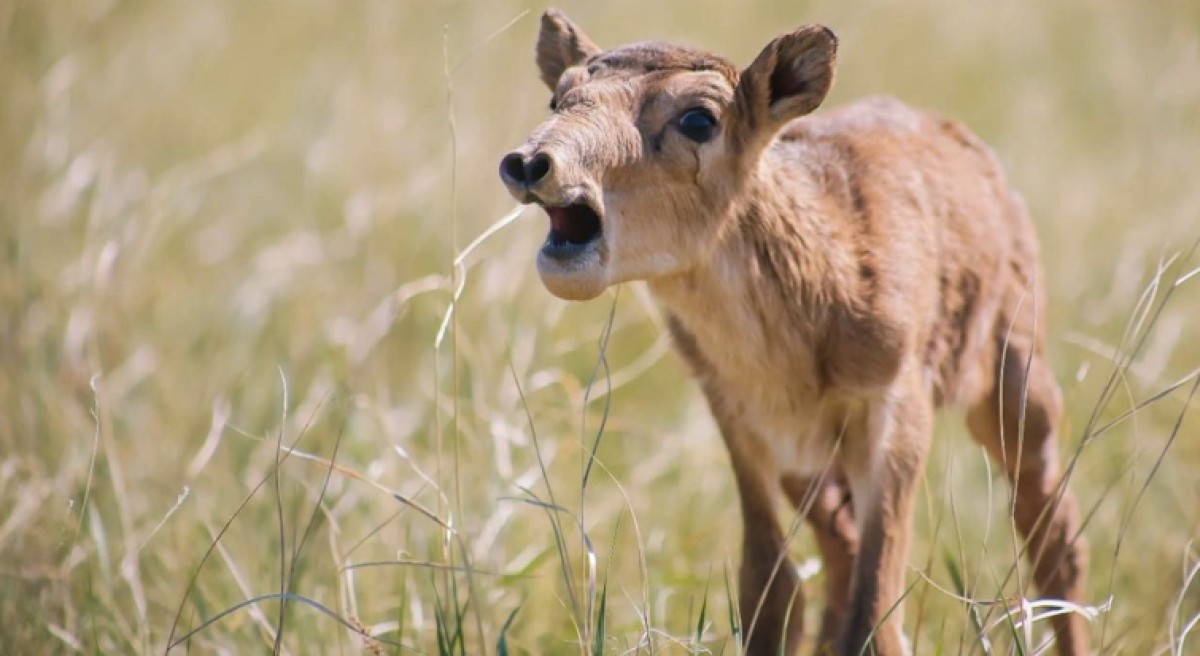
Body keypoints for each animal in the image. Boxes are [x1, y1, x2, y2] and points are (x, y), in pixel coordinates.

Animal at [496, 10, 1089, 656]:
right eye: (558, 96)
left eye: (699, 118)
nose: (532, 163)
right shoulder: (745, 423)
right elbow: (771, 590)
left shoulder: (895, 405)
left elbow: (876, 612)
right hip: (814, 466)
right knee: (841, 551)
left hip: (1017, 381)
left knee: (1054, 531)